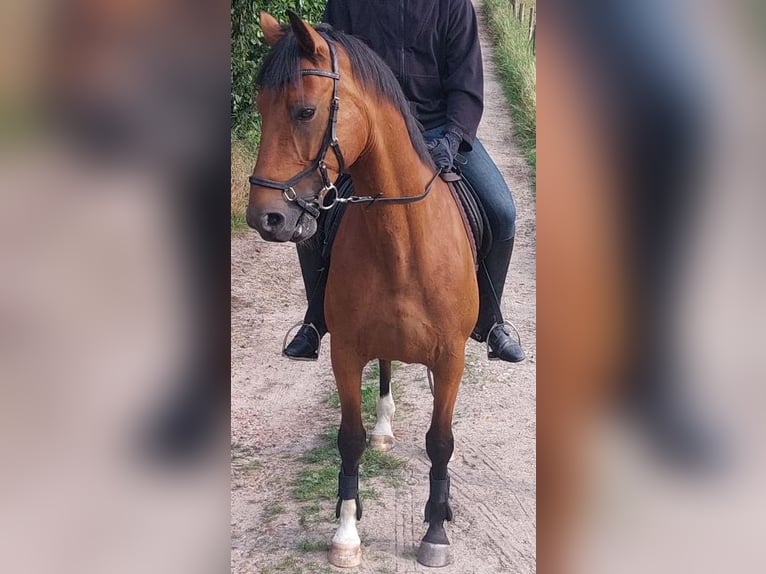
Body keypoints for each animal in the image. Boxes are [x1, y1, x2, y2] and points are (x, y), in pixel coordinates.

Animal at [249, 11, 480, 568]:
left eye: (305, 111)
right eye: (260, 109)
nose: (264, 217)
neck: (403, 240)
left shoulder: (451, 357)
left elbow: (441, 442)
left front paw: (435, 530)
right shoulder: (347, 352)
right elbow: (349, 439)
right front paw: (346, 532)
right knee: (387, 368)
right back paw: (384, 429)